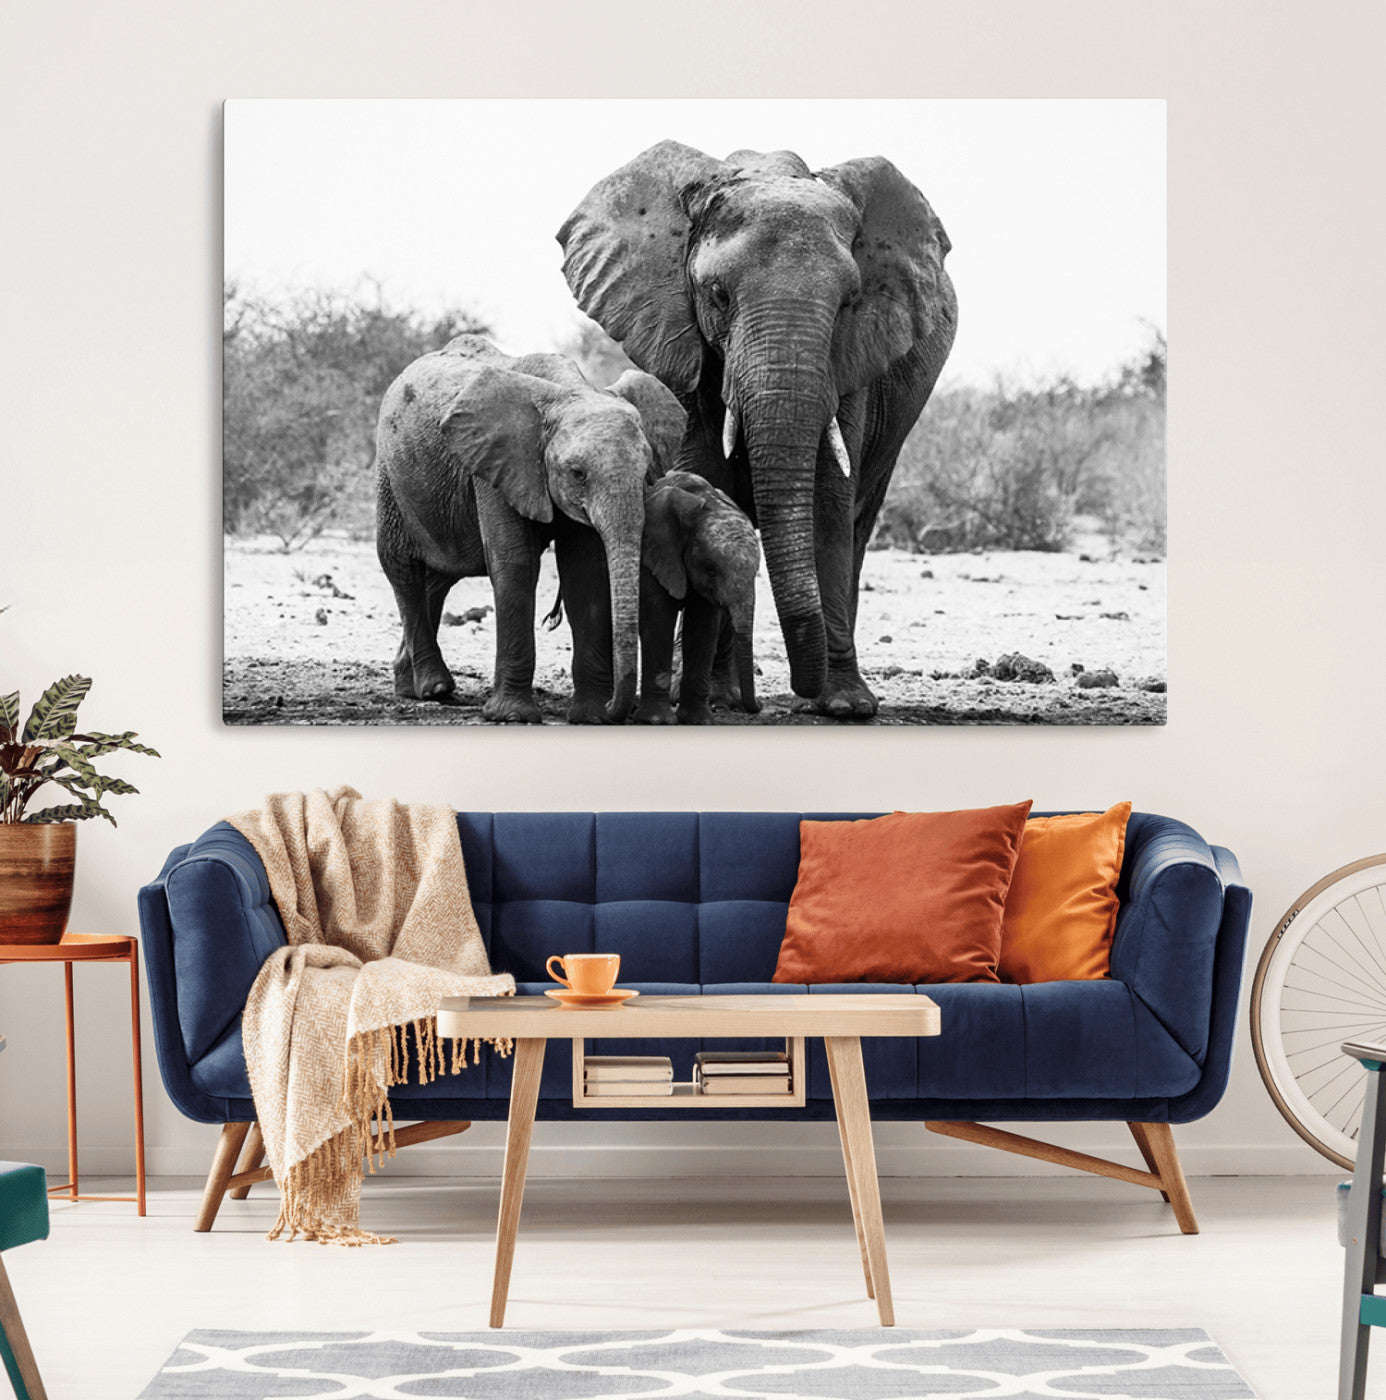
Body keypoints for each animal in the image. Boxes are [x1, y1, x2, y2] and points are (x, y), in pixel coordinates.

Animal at [375, 335, 678, 723]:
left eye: (645, 474)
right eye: (577, 473)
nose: (617, 708)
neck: (571, 391)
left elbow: (584, 573)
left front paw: (591, 716)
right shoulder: (495, 464)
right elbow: (515, 563)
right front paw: (511, 716)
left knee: (441, 575)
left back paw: (411, 687)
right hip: (391, 477)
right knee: (404, 569)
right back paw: (434, 688)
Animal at [635, 470, 761, 726]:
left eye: (756, 571)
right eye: (710, 569)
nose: (758, 707)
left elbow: (703, 627)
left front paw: (700, 721)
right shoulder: (654, 552)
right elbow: (658, 618)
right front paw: (657, 721)